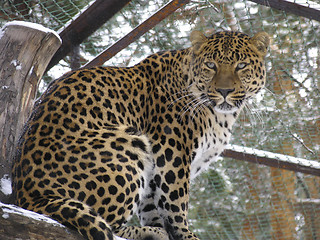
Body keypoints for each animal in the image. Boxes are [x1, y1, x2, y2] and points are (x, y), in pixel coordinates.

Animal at [11, 30, 268, 240]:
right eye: (211, 65)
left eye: (241, 65)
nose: (225, 91)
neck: (220, 115)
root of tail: (29, 198)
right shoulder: (172, 150)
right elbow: (176, 202)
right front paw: (184, 234)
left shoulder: (158, 168)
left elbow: (152, 202)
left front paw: (160, 226)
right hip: (127, 143)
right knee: (109, 224)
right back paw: (149, 233)